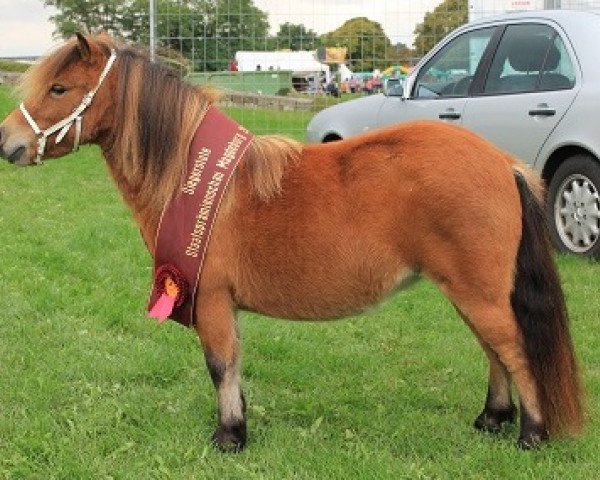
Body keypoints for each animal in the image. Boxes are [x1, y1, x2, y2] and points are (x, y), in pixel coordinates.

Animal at [0, 33, 584, 450]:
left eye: (58, 89)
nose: (9, 143)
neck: (192, 175)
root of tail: (502, 162)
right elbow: (233, 364)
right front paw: (239, 423)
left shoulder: (210, 298)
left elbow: (219, 364)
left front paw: (228, 437)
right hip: (469, 292)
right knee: (493, 349)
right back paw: (492, 419)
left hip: (478, 292)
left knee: (514, 350)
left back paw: (531, 434)